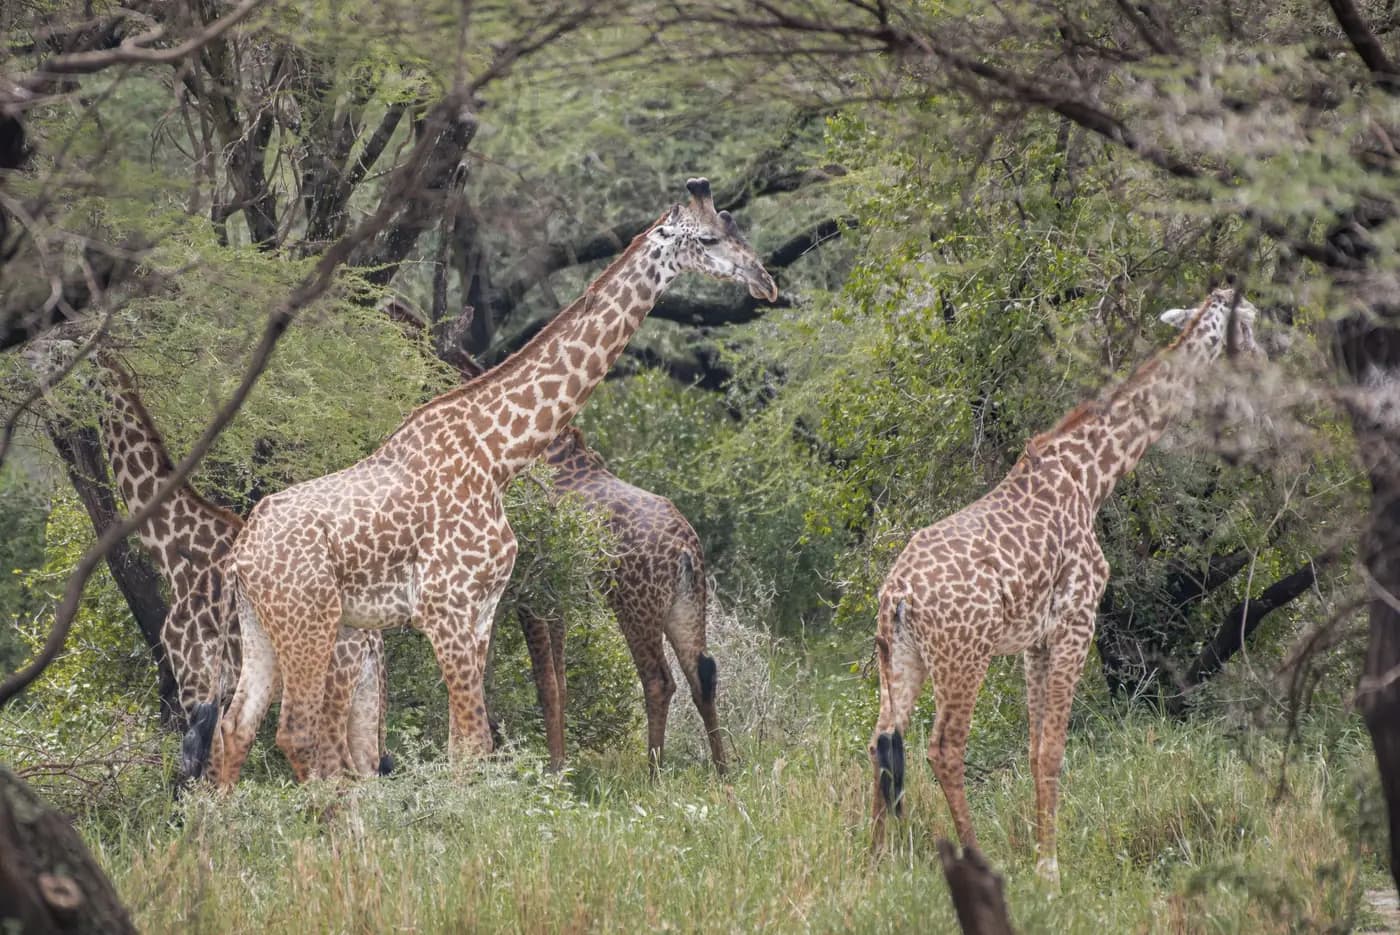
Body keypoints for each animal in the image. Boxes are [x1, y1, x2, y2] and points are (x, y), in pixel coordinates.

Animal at [90, 353, 391, 780]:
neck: (174, 550)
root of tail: (372, 640)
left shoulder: (195, 675)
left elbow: (196, 774)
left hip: (328, 685)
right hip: (363, 693)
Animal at [520, 426, 726, 775]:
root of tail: (685, 550)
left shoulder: (526, 591)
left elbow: (544, 680)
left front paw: (554, 769)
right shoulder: (555, 598)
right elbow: (560, 681)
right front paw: (561, 765)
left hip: (634, 606)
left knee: (659, 680)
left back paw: (653, 773)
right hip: (686, 607)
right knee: (703, 675)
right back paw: (723, 769)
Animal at [868, 287, 1261, 882]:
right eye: (1253, 324)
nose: (1264, 360)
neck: (1091, 477)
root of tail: (898, 595)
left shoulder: (1035, 639)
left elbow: (1034, 750)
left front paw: (1041, 855)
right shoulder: (1078, 620)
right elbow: (1053, 748)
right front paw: (1050, 869)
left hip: (900, 658)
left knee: (883, 742)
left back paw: (874, 863)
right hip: (964, 656)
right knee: (943, 748)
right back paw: (973, 858)